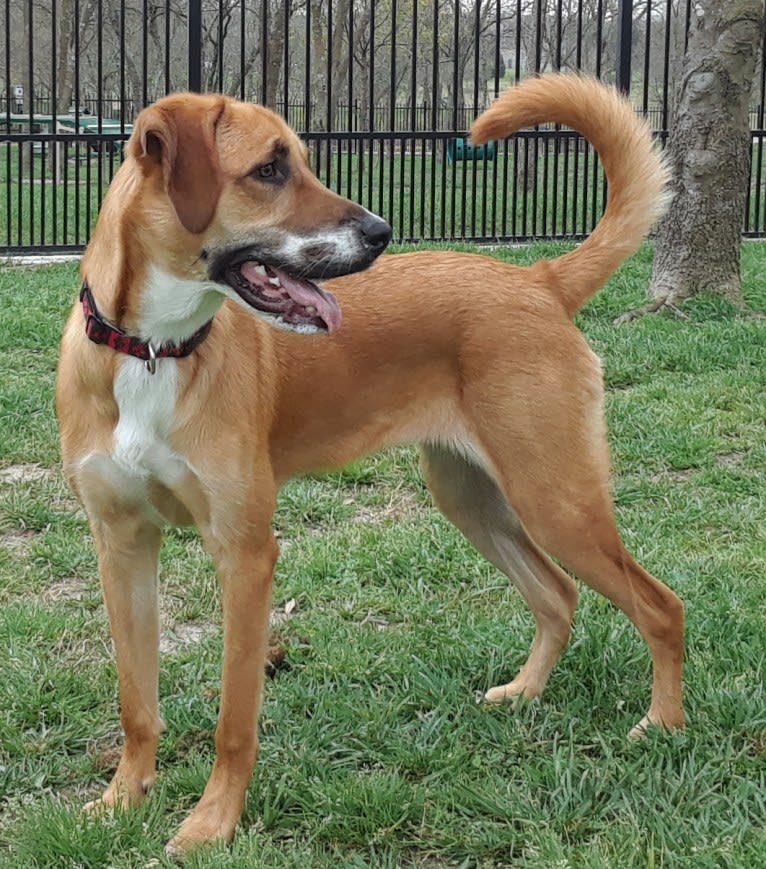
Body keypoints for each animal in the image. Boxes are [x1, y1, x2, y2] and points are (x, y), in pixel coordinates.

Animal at [57, 76, 688, 856]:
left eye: (299, 160)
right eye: (270, 169)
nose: (382, 231)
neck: (151, 348)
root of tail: (538, 279)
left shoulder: (245, 554)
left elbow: (235, 720)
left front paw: (211, 822)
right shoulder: (121, 544)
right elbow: (135, 701)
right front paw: (124, 797)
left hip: (556, 498)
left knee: (660, 606)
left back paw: (662, 725)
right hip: (471, 496)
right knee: (558, 595)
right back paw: (525, 692)